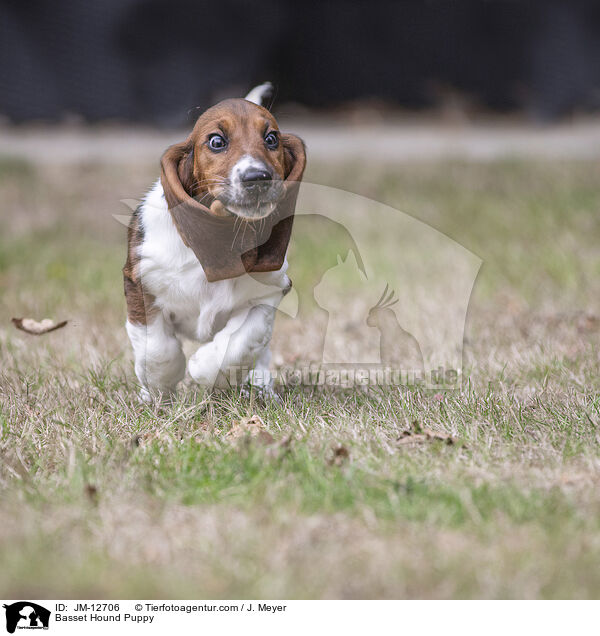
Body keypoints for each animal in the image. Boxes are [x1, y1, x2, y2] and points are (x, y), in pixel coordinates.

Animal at [124, 83, 308, 402]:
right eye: (217, 142)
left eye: (271, 139)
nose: (257, 177)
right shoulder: (140, 281)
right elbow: (158, 347)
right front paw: (158, 388)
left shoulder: (268, 292)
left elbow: (240, 341)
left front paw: (208, 369)